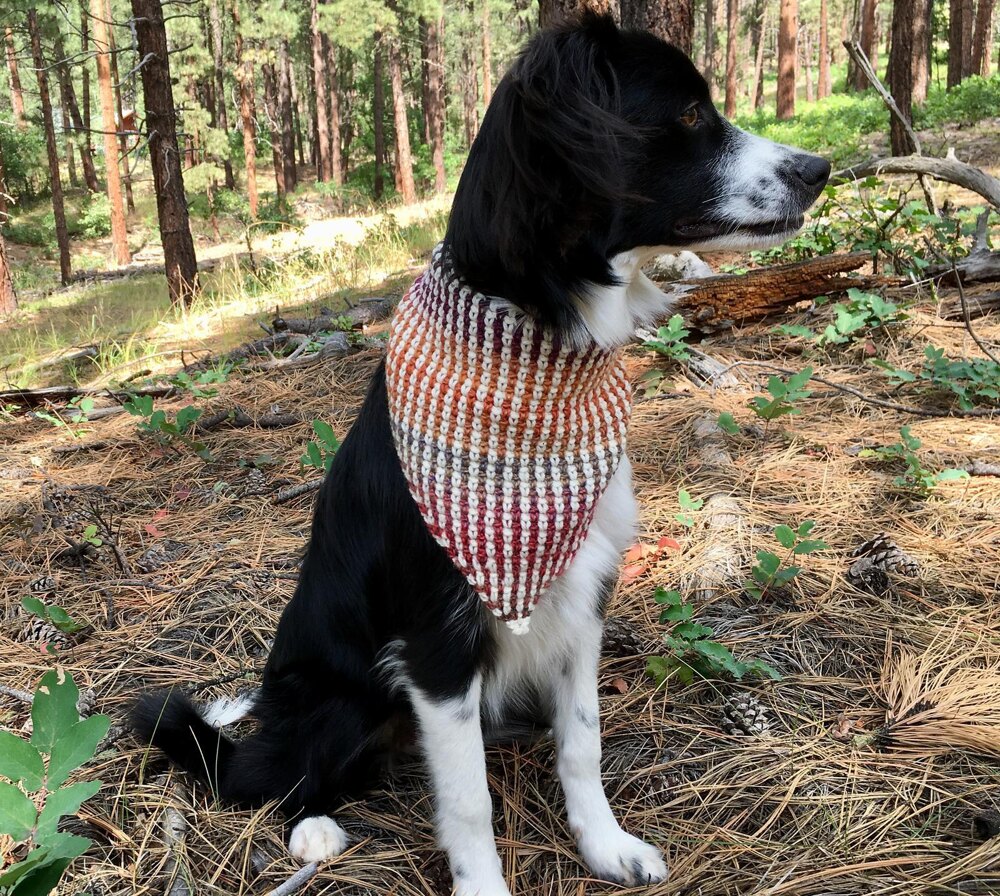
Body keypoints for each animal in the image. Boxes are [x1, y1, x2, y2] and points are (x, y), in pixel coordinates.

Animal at [133, 14, 828, 896]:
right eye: (689, 115)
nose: (820, 168)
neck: (537, 331)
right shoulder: (436, 642)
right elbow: (467, 801)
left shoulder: (582, 597)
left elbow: (583, 741)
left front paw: (604, 844)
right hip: (338, 700)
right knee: (271, 775)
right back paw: (312, 826)